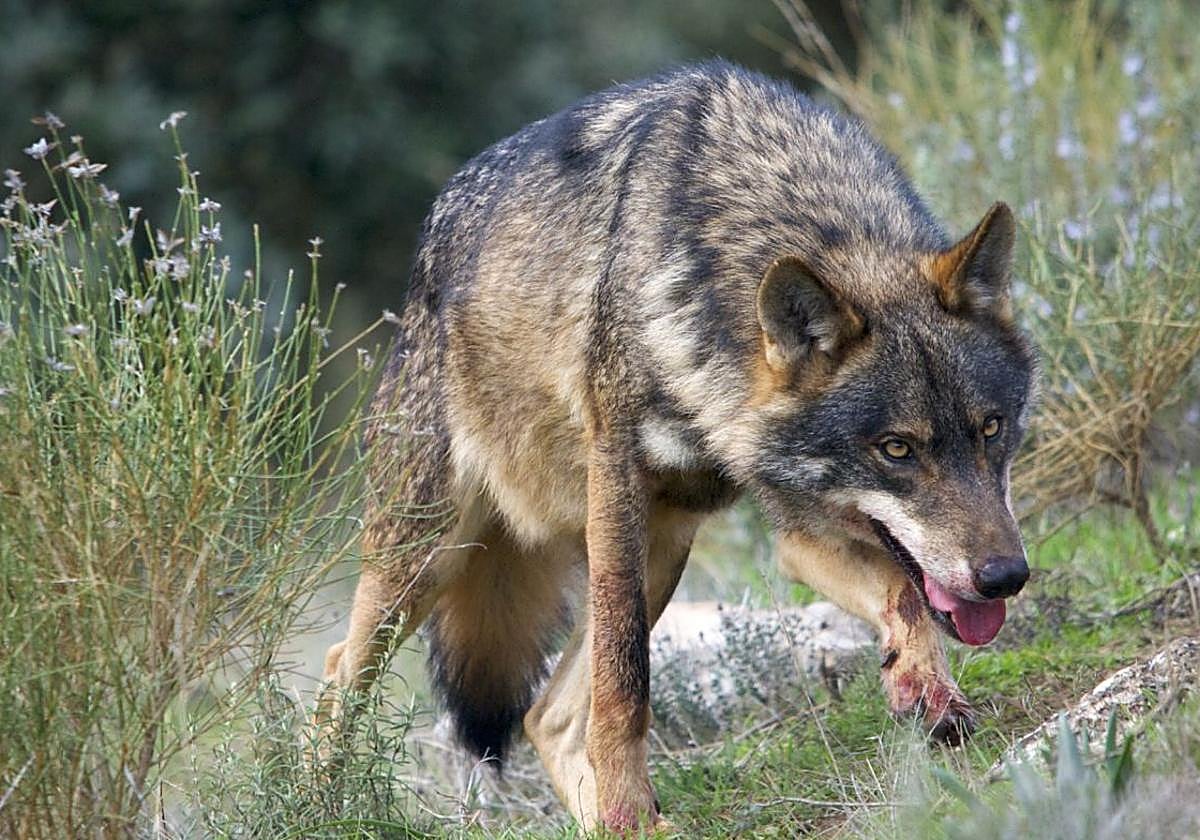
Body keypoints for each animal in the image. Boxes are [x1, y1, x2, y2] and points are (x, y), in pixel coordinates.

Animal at [315, 60, 1037, 832]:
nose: (1005, 577)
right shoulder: (617, 483)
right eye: (897, 449)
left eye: (991, 429)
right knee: (337, 675)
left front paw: (924, 688)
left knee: (545, 717)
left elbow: (905, 594)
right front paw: (628, 802)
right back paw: (322, 803)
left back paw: (613, 826)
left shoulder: (798, 527)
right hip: (430, 557)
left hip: (662, 547)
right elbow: (625, 684)